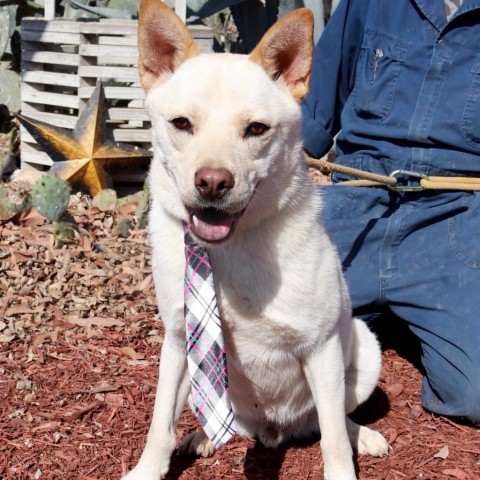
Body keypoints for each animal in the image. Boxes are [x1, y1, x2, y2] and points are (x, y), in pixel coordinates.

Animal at [122, 1, 388, 478]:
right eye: (181, 123)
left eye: (257, 129)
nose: (212, 183)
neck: (227, 252)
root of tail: (276, 430)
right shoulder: (179, 340)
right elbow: (158, 425)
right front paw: (147, 470)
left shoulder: (321, 349)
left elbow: (335, 441)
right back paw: (204, 436)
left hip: (363, 349)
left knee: (336, 419)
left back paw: (364, 434)